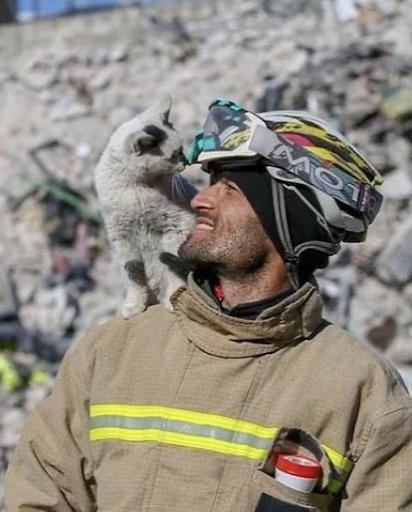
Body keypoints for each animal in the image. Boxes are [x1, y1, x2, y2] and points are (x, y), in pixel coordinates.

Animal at [94, 94, 197, 318]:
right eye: (173, 155)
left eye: (181, 149)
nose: (186, 162)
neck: (135, 188)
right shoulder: (122, 238)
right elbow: (133, 276)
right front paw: (134, 306)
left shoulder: (177, 226)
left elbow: (172, 268)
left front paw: (173, 299)